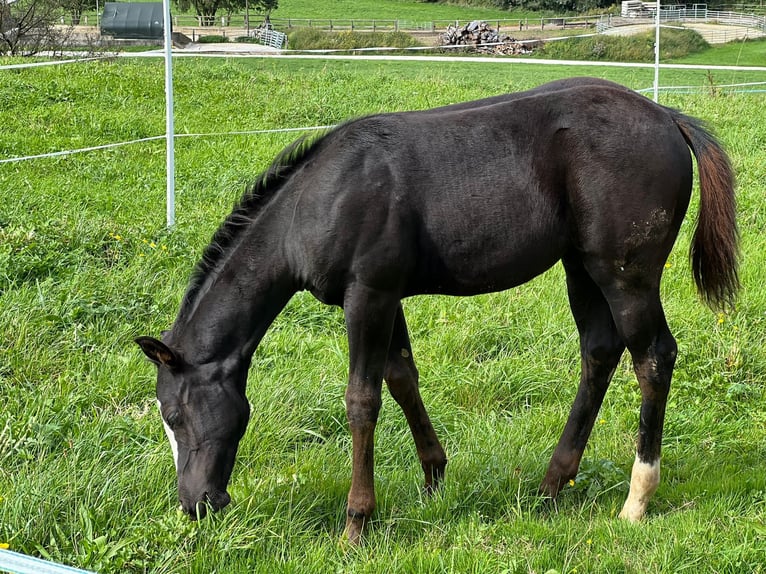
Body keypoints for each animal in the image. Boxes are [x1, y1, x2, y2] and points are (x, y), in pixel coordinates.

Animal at [136, 77, 738, 544]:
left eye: (174, 415)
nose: (197, 504)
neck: (317, 201)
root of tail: (668, 117)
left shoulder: (368, 296)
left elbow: (362, 399)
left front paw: (357, 522)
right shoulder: (388, 297)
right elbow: (402, 377)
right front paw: (433, 478)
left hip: (625, 275)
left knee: (653, 357)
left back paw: (636, 500)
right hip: (580, 267)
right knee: (600, 352)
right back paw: (551, 485)